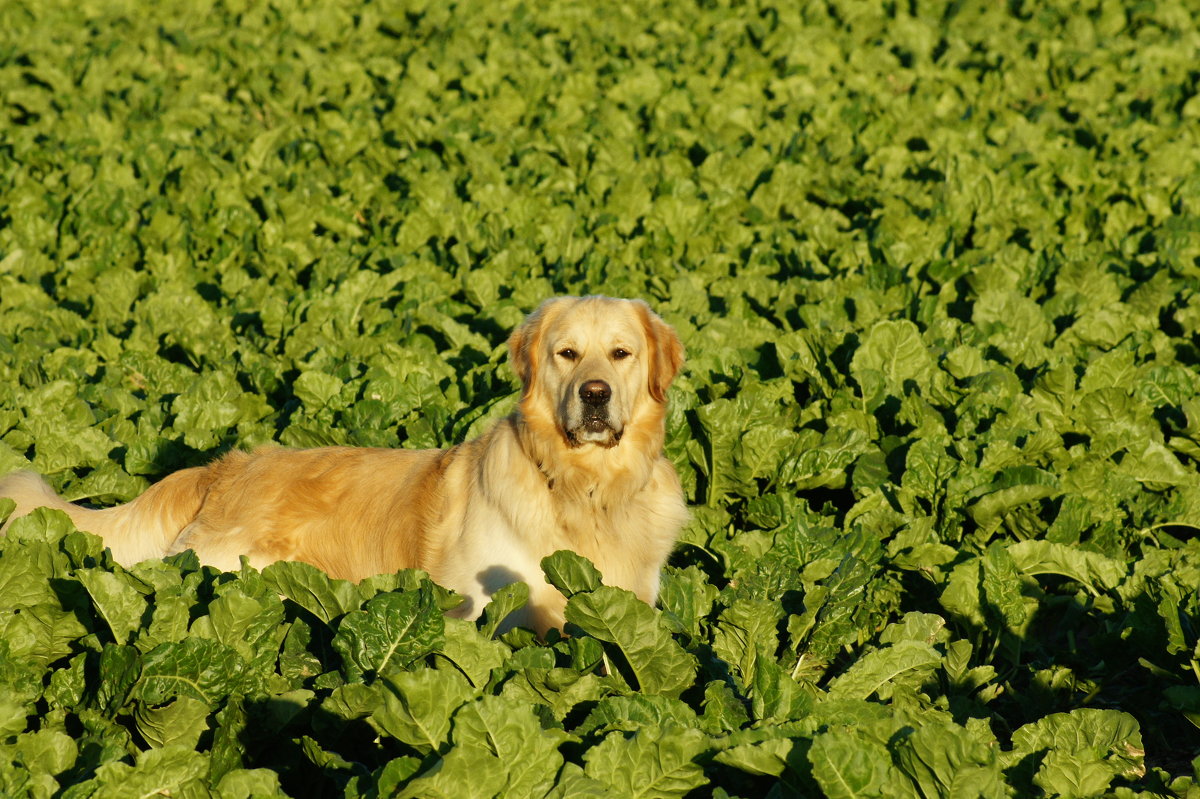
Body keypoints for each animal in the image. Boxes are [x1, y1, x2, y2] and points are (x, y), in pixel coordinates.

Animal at [0, 295, 686, 633]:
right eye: (567, 354)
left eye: (620, 354)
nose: (594, 395)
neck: (584, 491)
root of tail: (221, 468)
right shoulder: (479, 611)